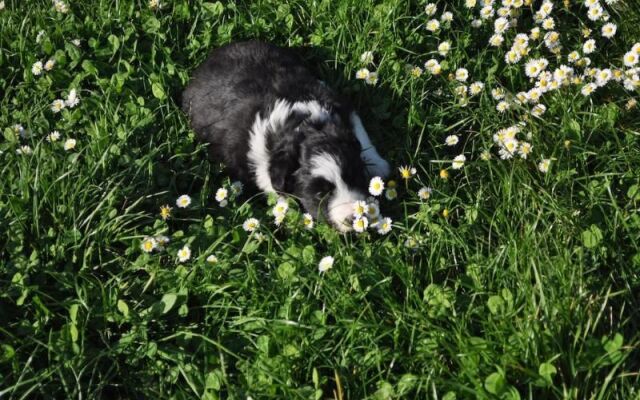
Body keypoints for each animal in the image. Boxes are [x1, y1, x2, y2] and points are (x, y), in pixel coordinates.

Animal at [181, 41, 390, 231]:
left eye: (355, 177)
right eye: (320, 195)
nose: (355, 218)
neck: (302, 125)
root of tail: (207, 62)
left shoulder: (340, 106)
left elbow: (361, 134)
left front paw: (379, 165)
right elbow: (277, 190)